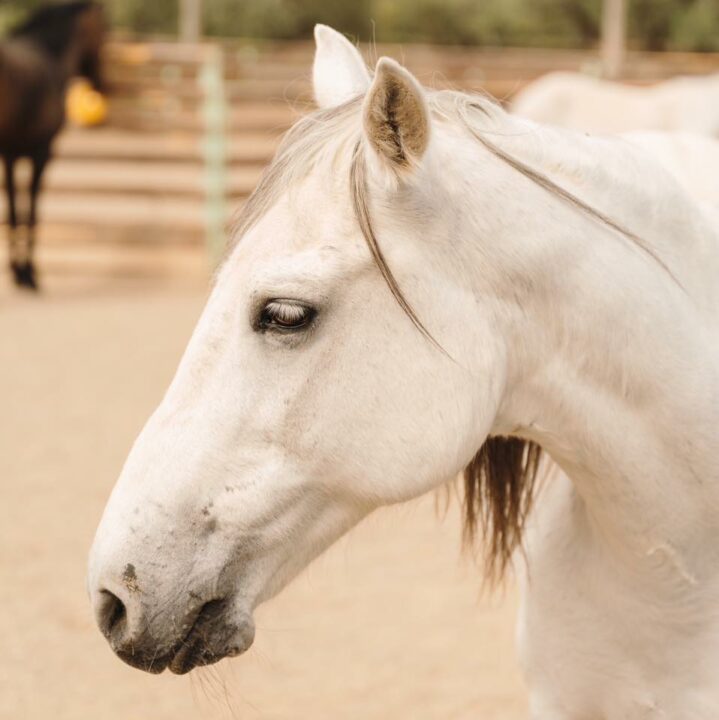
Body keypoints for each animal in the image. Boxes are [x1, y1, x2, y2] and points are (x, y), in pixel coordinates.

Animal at [0, 3, 105, 290]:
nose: (102, 84)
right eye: (106, 30)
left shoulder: (12, 155)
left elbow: (15, 212)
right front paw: (27, 273)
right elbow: (30, 213)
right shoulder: (41, 153)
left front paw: (18, 271)